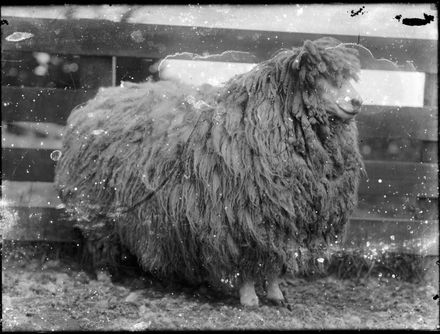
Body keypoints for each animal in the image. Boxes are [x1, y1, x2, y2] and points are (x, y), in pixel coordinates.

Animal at [55, 37, 364, 306]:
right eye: (318, 76)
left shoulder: (284, 217)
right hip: (95, 201)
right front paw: (249, 299)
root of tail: (97, 100)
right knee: (98, 239)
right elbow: (246, 262)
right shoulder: (241, 215)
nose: (358, 102)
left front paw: (276, 295)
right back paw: (104, 274)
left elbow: (274, 262)